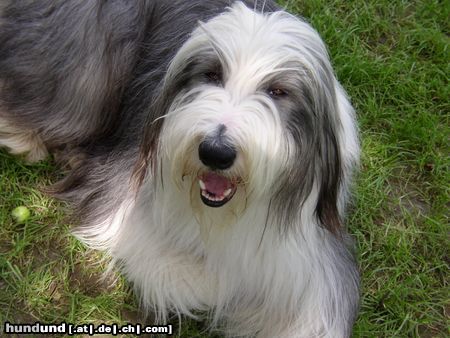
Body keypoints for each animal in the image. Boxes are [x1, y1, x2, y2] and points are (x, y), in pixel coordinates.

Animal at [0, 1, 358, 336]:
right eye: (212, 74)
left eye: (278, 91)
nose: (215, 152)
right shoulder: (127, 204)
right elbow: (186, 276)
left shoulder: (312, 254)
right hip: (89, 51)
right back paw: (27, 137)